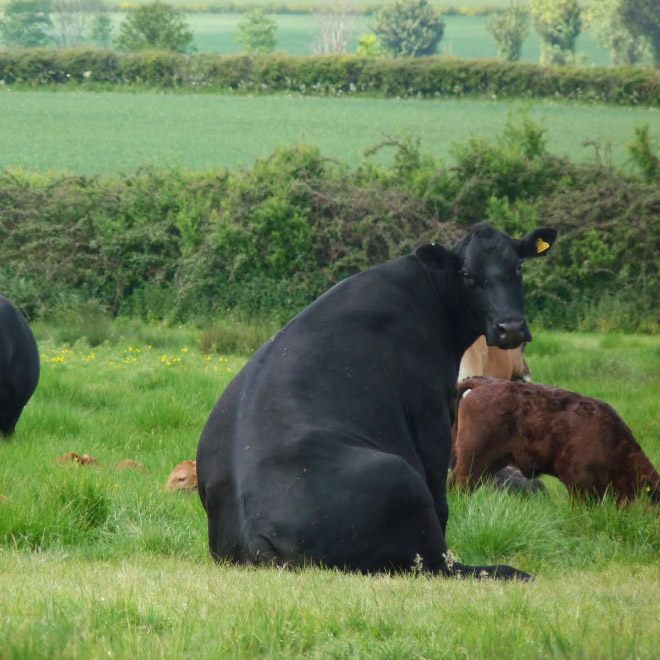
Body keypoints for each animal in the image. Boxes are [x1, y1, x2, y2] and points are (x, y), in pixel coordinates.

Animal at [197, 224, 556, 580]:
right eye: (467, 274)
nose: (510, 327)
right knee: (435, 564)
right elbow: (441, 494)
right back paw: (509, 571)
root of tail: (255, 532)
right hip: (400, 476)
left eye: (518, 268)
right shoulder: (431, 411)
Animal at [448, 376, 660, 506]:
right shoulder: (579, 482)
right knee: (457, 483)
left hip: (490, 464)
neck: (612, 441)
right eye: (654, 499)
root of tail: (484, 383)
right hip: (473, 460)